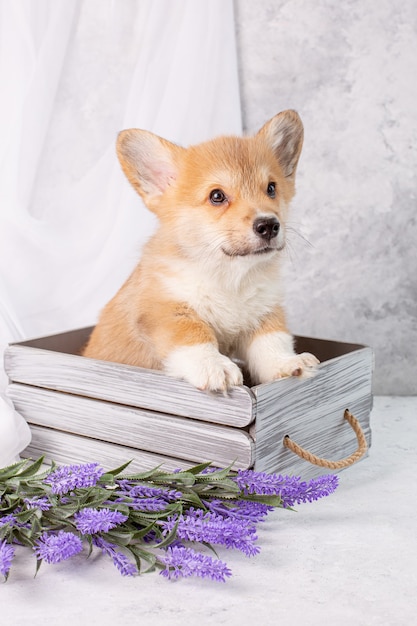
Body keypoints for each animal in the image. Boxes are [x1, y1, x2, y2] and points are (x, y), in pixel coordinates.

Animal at [83, 109, 318, 388]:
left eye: (271, 188)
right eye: (217, 196)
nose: (269, 225)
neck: (229, 278)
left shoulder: (265, 312)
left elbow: (272, 341)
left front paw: (286, 362)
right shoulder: (165, 311)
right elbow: (195, 336)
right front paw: (214, 365)